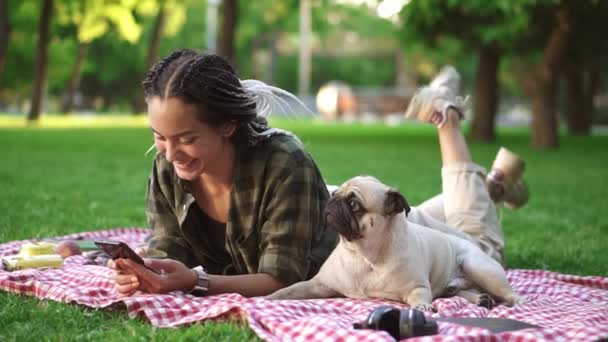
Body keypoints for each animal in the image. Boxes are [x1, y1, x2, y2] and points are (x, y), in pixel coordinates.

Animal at [268, 176, 524, 310]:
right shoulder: (318, 285)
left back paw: (517, 301)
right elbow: (288, 291)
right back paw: (480, 299)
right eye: (334, 194)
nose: (333, 202)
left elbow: (420, 298)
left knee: (506, 293)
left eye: (354, 204)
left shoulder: (417, 288)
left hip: (477, 266)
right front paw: (266, 299)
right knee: (462, 292)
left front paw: (422, 308)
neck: (364, 256)